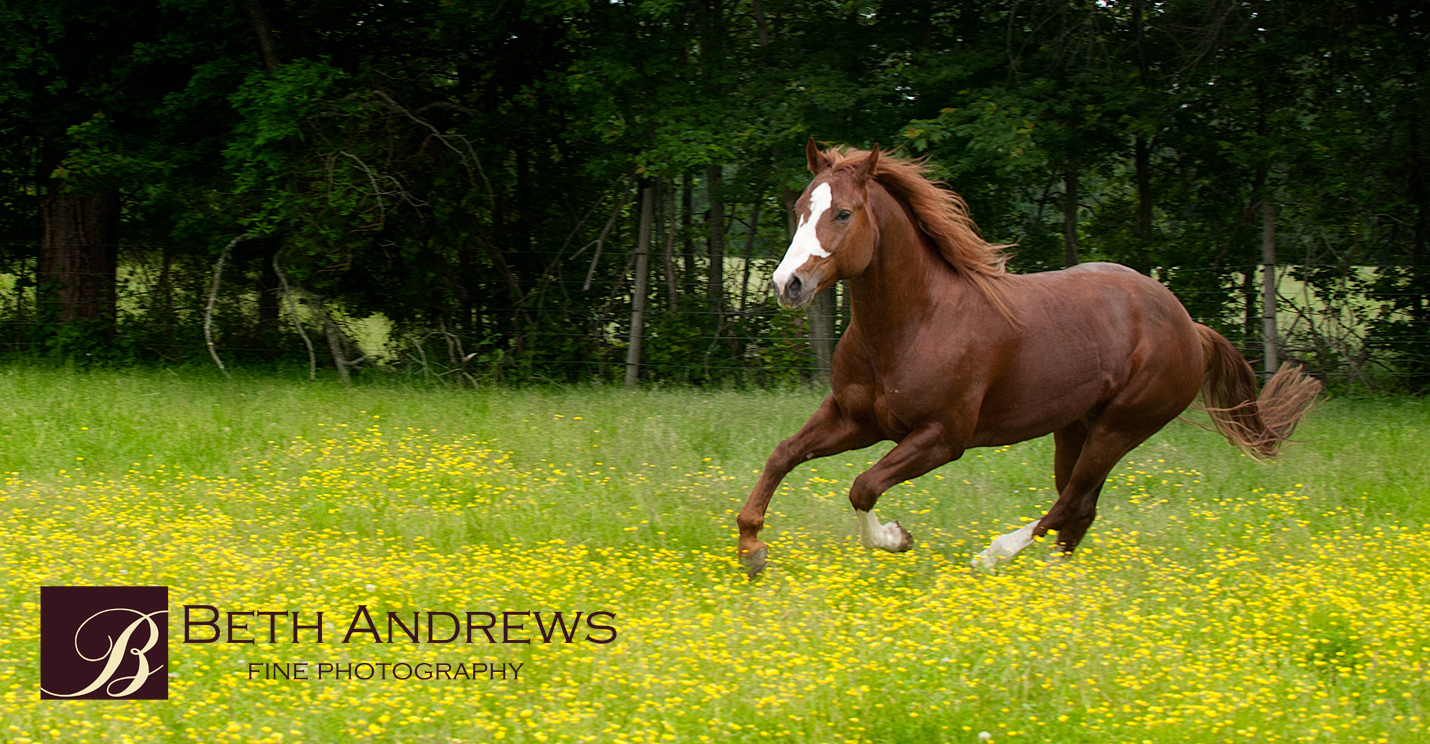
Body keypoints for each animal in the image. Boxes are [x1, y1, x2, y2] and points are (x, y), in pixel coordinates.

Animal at [737, 140, 1315, 580]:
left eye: (843, 213)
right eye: (800, 209)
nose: (788, 285)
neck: (915, 322)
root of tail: (1188, 326)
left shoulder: (942, 438)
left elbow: (863, 486)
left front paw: (897, 538)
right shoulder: (854, 418)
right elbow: (783, 455)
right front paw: (751, 548)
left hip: (1122, 427)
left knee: (1071, 503)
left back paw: (995, 554)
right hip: (1075, 427)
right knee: (1080, 509)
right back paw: (1052, 585)